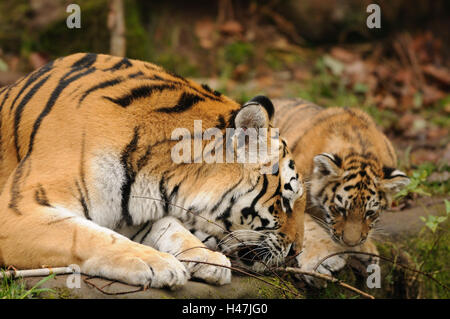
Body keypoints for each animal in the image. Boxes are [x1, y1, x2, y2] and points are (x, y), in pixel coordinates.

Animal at [0, 54, 304, 290]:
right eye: (284, 201)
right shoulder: (18, 212)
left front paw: (208, 258)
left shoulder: (130, 206)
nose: (296, 252)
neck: (159, 175)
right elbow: (89, 236)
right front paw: (157, 263)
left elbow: (171, 228)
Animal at [272, 98, 410, 288]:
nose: (350, 242)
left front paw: (365, 250)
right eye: (339, 209)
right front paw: (323, 259)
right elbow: (307, 225)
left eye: (370, 213)